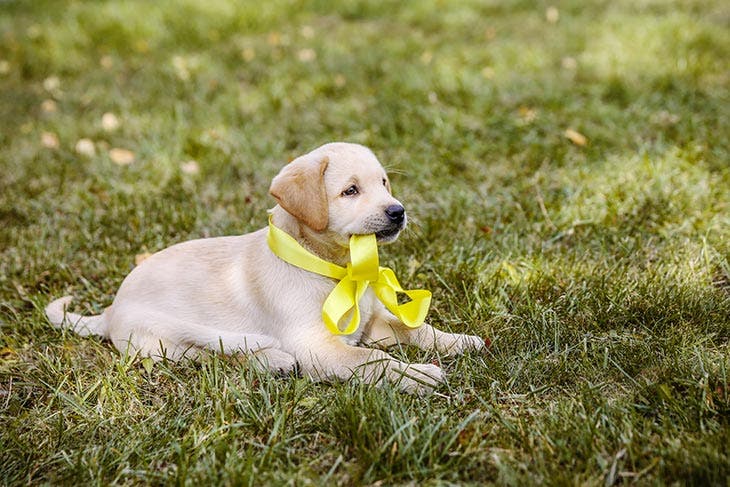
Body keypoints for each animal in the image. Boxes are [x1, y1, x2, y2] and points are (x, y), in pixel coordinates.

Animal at [48, 142, 486, 392]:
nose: (398, 212)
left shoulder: (373, 323)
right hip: (165, 340)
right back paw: (273, 361)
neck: (332, 268)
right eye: (350, 191)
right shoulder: (317, 346)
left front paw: (457, 341)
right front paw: (416, 375)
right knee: (209, 356)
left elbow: (414, 328)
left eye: (383, 184)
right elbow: (370, 360)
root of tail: (109, 311)